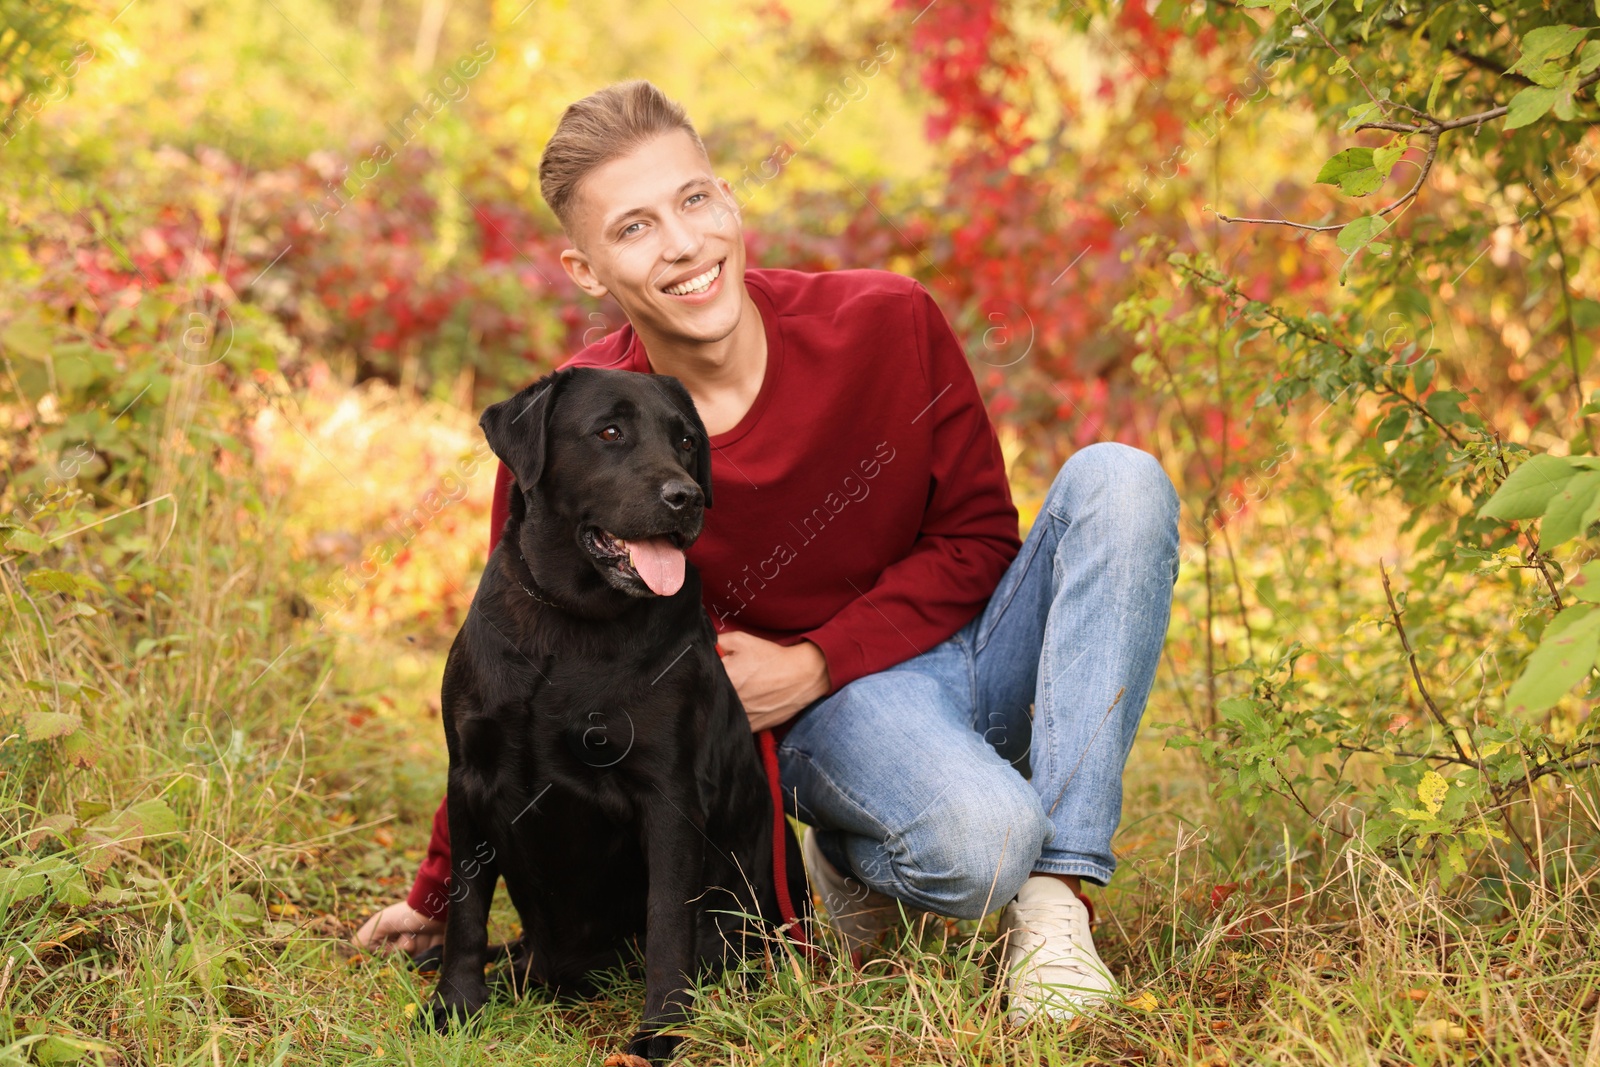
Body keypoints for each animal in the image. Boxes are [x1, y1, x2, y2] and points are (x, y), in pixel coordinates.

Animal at [425, 369, 780, 1067]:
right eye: (610, 432)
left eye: (687, 441)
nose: (686, 498)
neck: (569, 623)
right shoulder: (468, 778)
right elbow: (465, 910)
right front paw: (455, 1006)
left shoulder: (669, 796)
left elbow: (667, 921)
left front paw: (661, 1033)